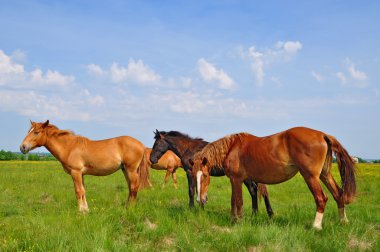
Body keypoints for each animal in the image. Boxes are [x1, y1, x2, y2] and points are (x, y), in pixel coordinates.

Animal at [19, 120, 150, 213]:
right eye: (28, 131)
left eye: (36, 132)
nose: (22, 147)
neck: (69, 147)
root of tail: (141, 145)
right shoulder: (81, 174)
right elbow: (83, 190)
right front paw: (86, 210)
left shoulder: (75, 172)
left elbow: (78, 191)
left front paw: (80, 211)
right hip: (125, 170)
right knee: (130, 188)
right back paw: (126, 207)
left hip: (131, 170)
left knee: (133, 187)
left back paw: (130, 209)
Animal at [191, 127, 358, 229]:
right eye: (193, 176)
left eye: (204, 175)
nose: (200, 200)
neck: (232, 147)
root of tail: (322, 135)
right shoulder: (234, 180)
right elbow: (233, 201)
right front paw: (233, 219)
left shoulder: (237, 179)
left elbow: (238, 201)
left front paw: (238, 221)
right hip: (325, 175)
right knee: (338, 195)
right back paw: (343, 221)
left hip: (311, 177)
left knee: (322, 198)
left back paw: (316, 226)